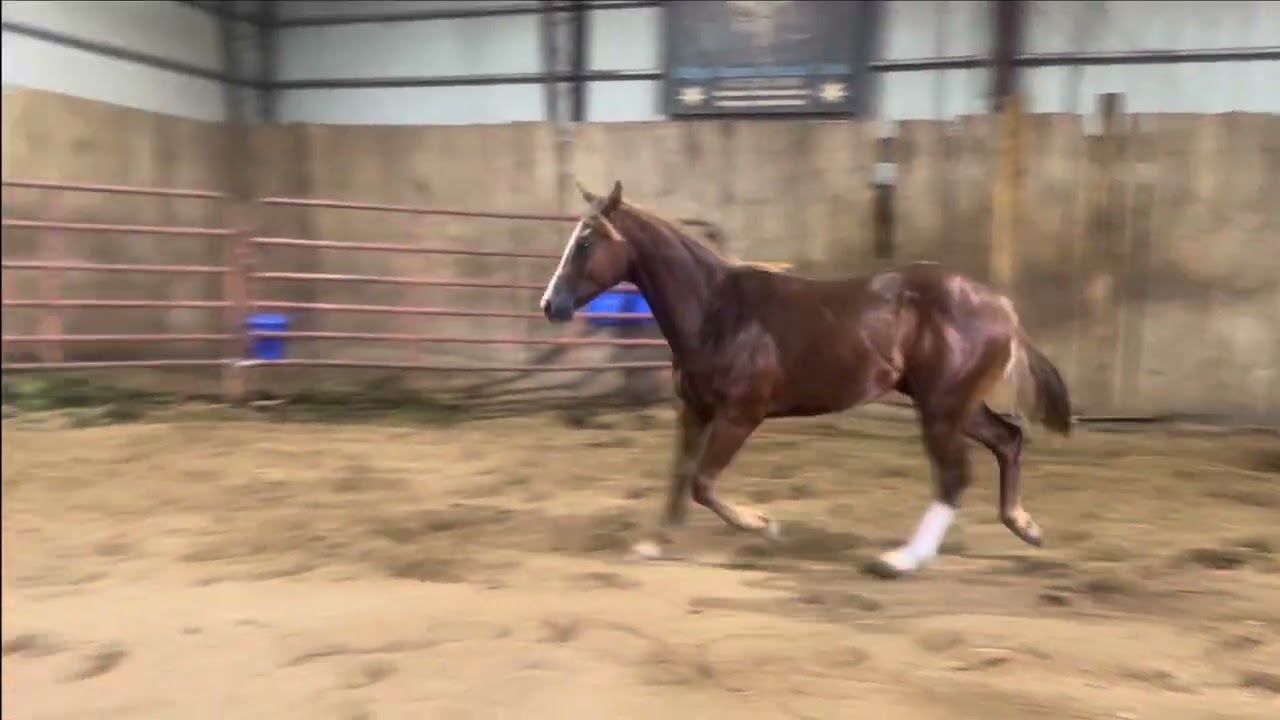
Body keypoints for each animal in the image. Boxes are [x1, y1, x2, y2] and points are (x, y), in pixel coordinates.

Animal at [539, 180, 1073, 579]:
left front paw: (763, 525)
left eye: (585, 241)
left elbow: (703, 483)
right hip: (954, 405)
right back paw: (1025, 527)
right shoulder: (694, 411)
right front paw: (653, 543)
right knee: (1008, 439)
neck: (717, 311)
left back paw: (899, 561)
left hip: (941, 408)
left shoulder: (741, 415)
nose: (550, 305)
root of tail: (1002, 307)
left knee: (956, 475)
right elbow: (681, 477)